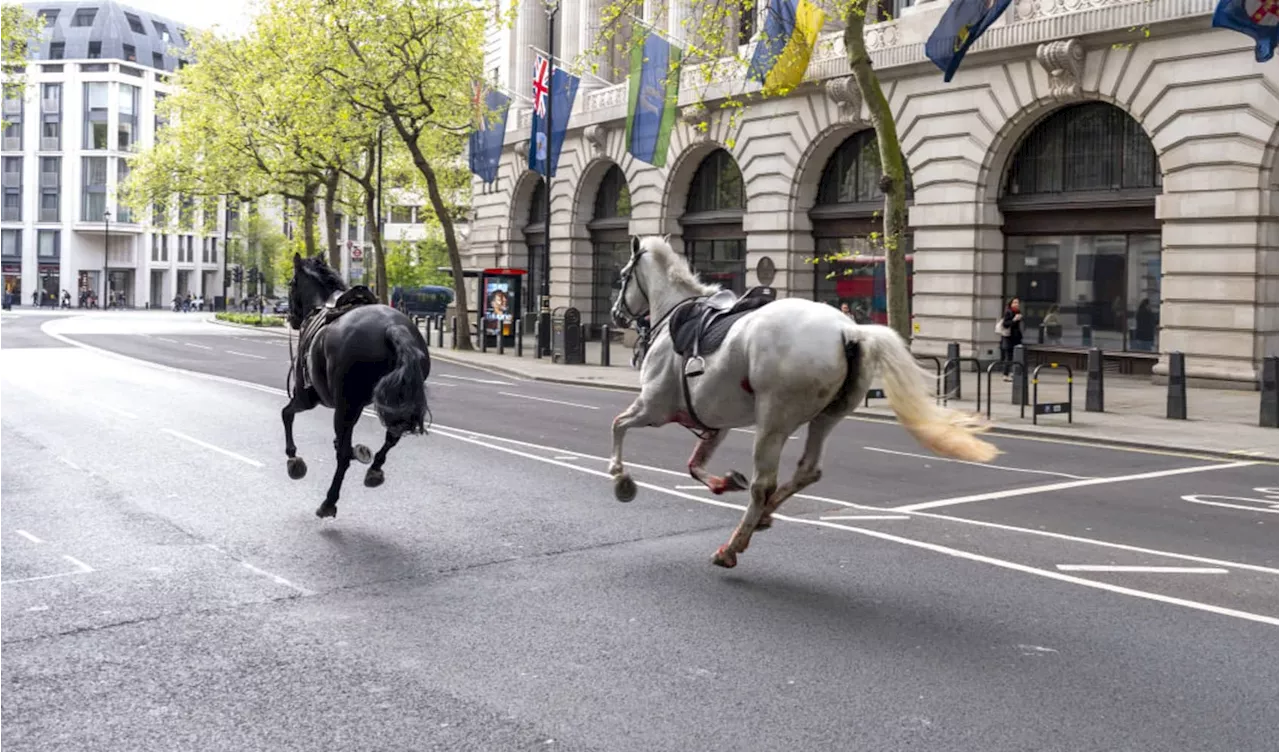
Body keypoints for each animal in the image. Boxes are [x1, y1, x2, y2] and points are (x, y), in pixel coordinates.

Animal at [281, 253, 430, 516]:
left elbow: (286, 414)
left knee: (342, 457)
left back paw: (329, 502)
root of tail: (393, 328)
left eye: (291, 284)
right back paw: (374, 469)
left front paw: (293, 458)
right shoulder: (357, 404)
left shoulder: (307, 397)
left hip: (343, 406)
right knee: (393, 435)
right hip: (393, 401)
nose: (293, 319)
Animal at [609, 235, 998, 570]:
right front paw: (723, 482)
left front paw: (620, 476)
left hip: (773, 420)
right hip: (826, 415)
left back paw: (733, 545)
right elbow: (694, 464)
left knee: (763, 483)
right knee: (807, 470)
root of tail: (850, 330)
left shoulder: (654, 407)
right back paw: (763, 516)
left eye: (623, 276)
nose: (615, 315)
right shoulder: (714, 421)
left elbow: (618, 424)